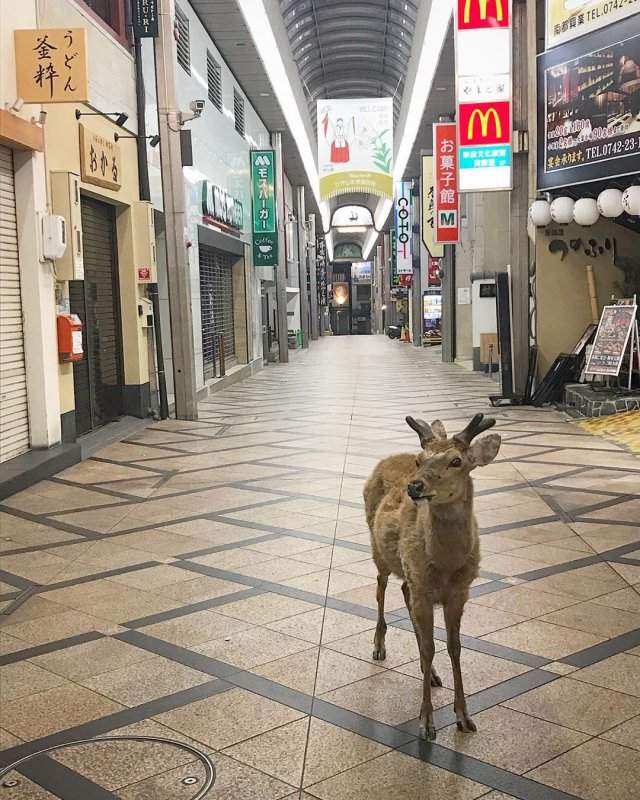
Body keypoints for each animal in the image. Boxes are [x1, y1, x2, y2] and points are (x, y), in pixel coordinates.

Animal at [364, 416, 500, 740]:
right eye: (419, 460)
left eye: (456, 461)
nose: (415, 486)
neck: (446, 566)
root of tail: (388, 458)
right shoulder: (424, 590)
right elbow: (429, 648)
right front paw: (426, 722)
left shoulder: (459, 593)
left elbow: (454, 647)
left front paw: (464, 716)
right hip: (378, 549)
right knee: (380, 587)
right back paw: (379, 645)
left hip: (408, 574)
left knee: (403, 589)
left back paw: (434, 674)